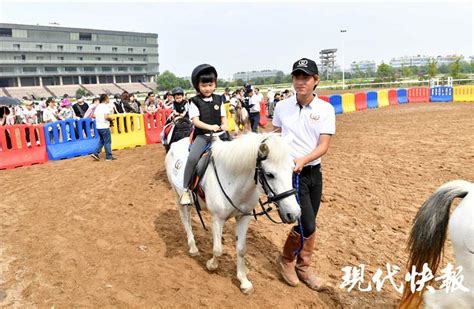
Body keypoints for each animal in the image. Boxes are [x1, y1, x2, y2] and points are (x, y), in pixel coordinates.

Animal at [166, 132, 300, 292]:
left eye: (292, 169)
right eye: (269, 174)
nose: (294, 213)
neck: (233, 179)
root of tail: (176, 143)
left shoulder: (244, 217)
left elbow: (241, 249)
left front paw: (244, 280)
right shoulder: (217, 218)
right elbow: (218, 249)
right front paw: (212, 265)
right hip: (177, 196)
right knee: (185, 219)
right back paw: (193, 248)